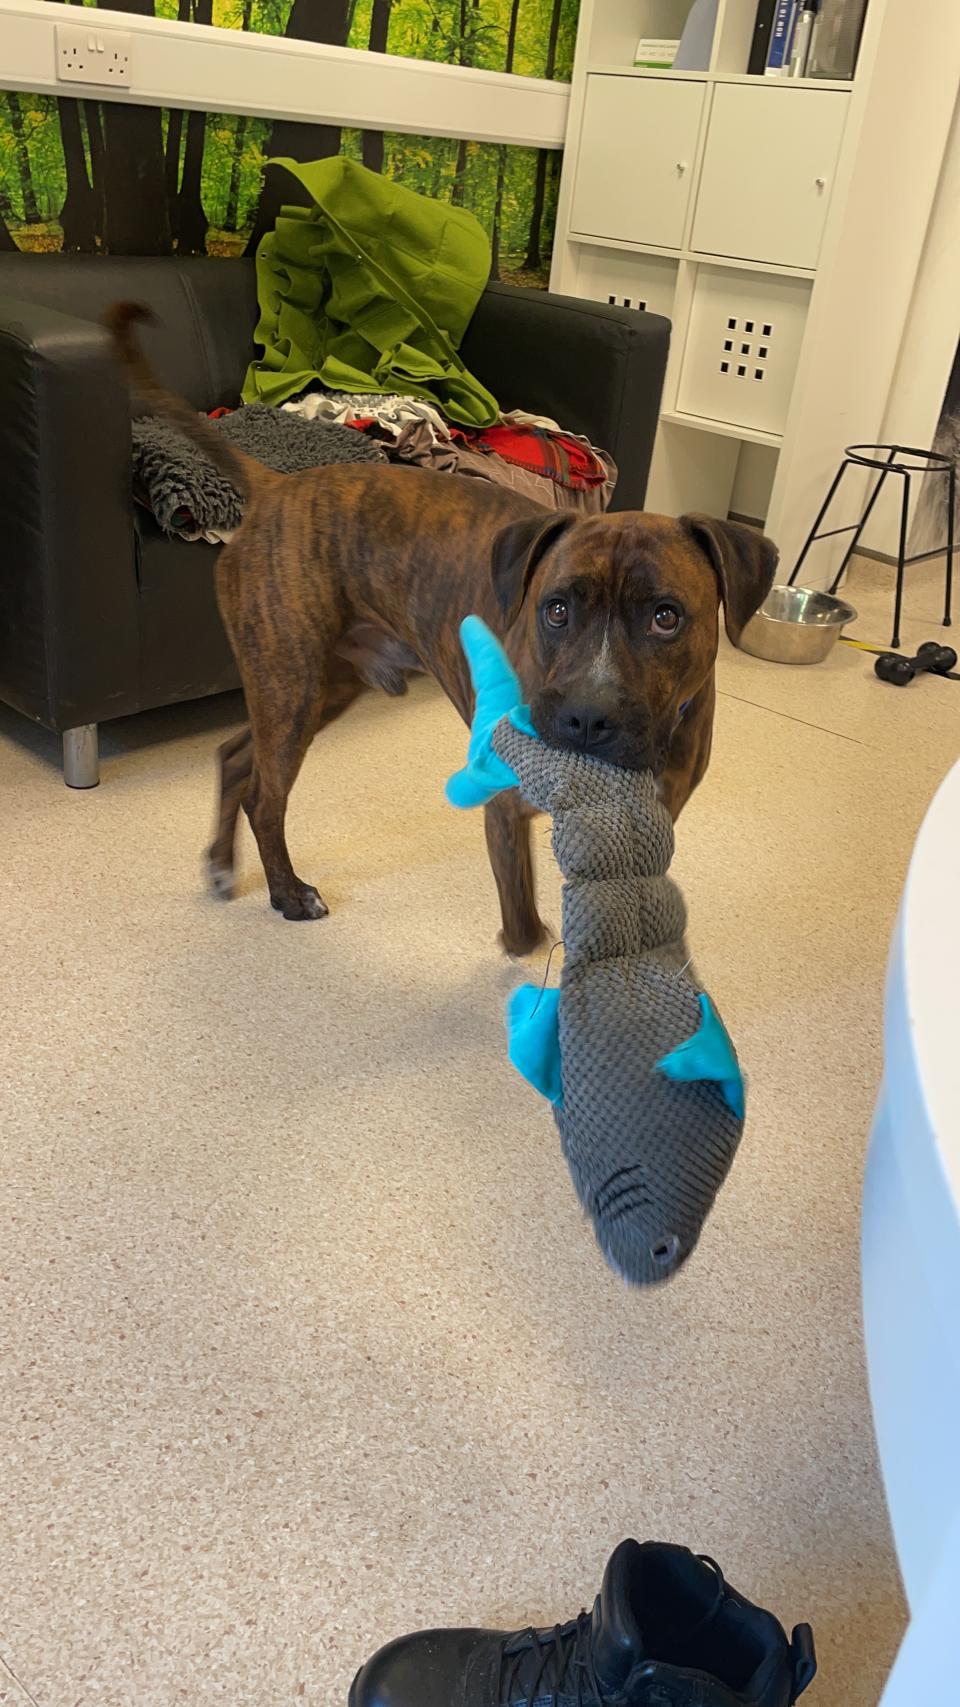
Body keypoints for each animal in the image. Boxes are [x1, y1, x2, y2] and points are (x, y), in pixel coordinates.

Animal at [108, 303, 772, 949]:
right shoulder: (505, 808)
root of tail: (277, 486)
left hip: (314, 691)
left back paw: (224, 866)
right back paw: (288, 894)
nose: (585, 717)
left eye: (666, 617)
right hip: (290, 687)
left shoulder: (646, 823)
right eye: (556, 609)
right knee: (264, 800)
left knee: (236, 756)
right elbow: (524, 932)